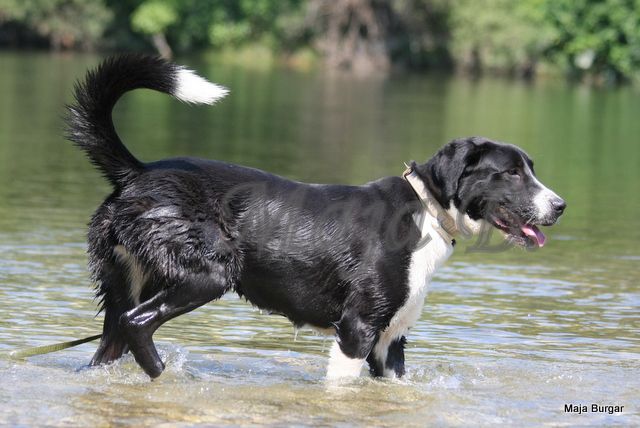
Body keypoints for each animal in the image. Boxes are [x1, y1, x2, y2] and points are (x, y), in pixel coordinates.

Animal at [66, 55, 564, 380]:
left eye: (530, 168)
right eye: (511, 172)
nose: (560, 205)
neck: (426, 212)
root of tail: (138, 172)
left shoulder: (390, 343)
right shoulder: (358, 330)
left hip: (126, 284)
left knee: (114, 337)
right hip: (206, 274)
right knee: (139, 324)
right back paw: (166, 376)